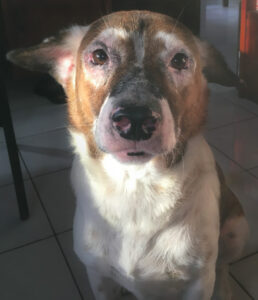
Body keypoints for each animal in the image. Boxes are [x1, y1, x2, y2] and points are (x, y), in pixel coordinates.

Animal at [9, 10, 249, 298]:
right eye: (99, 55)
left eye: (180, 60)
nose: (135, 120)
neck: (136, 185)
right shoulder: (98, 277)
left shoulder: (198, 282)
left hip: (237, 230)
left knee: (223, 264)